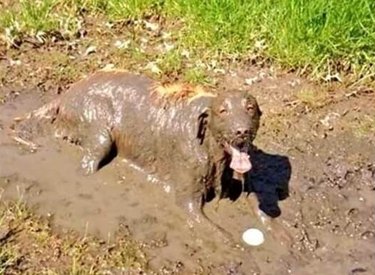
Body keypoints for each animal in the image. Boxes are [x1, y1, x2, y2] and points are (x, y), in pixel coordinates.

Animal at [13, 70, 262, 229]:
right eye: (223, 111)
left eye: (250, 108)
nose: (241, 131)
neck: (212, 150)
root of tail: (65, 93)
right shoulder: (187, 196)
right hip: (99, 133)